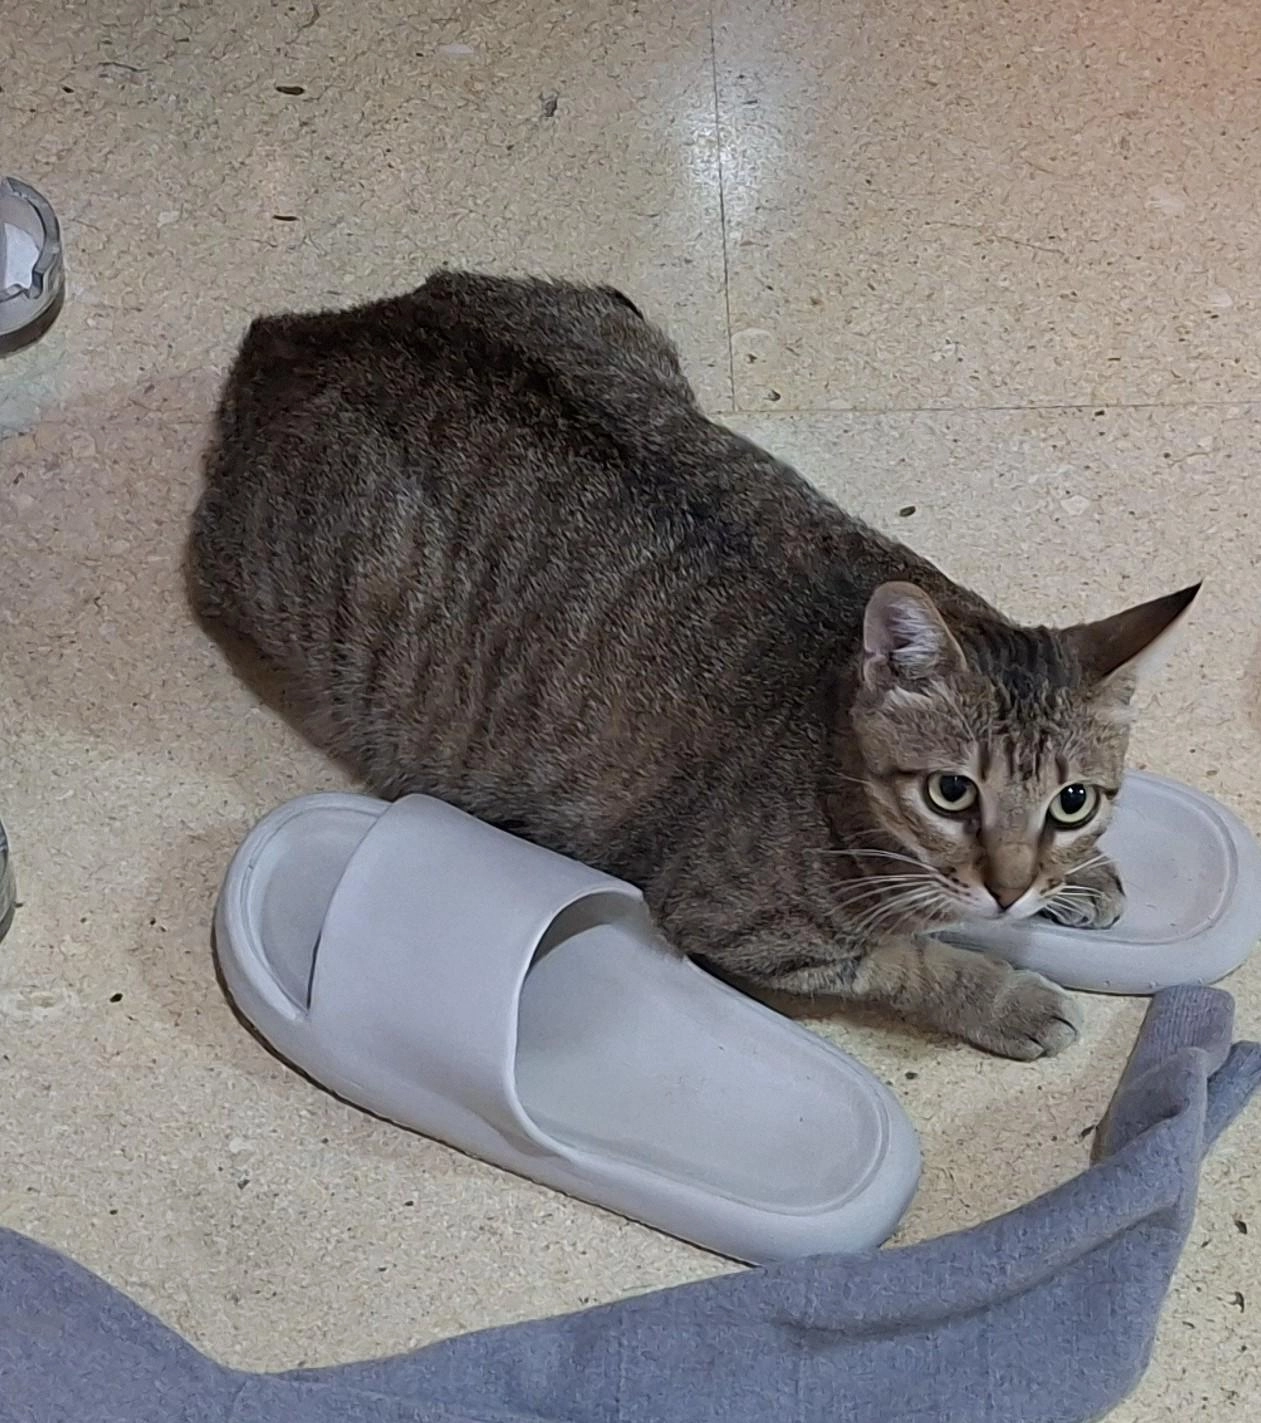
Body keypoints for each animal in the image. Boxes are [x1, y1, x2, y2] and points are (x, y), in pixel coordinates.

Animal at [188, 271, 1199, 1060]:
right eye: (951, 793)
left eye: (1072, 801)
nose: (1010, 886)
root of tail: (297, 331)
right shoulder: (742, 927)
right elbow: (907, 960)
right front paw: (1004, 996)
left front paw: (1082, 877)